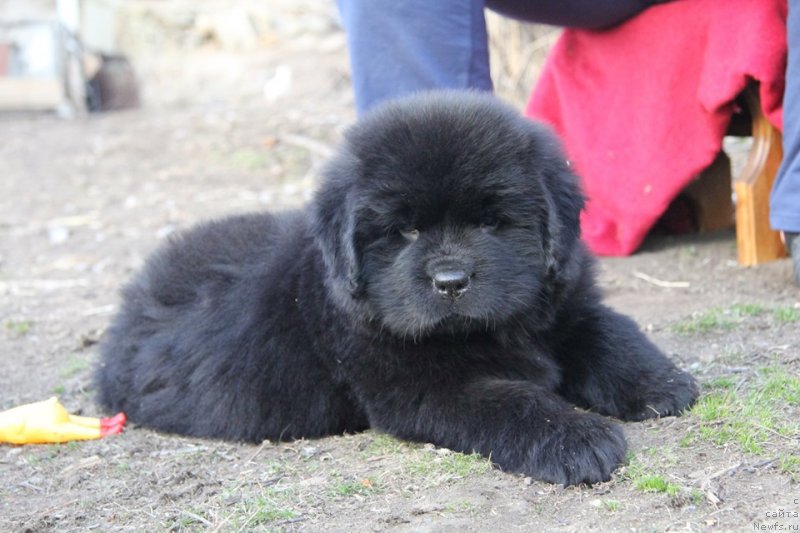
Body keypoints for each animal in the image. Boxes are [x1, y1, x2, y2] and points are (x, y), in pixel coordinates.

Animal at [94, 92, 696, 486]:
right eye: (403, 231)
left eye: (491, 221)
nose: (451, 282)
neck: (492, 332)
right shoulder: (422, 386)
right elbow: (512, 399)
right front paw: (577, 439)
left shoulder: (565, 306)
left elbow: (610, 331)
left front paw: (660, 383)